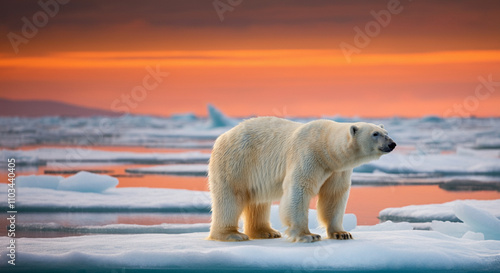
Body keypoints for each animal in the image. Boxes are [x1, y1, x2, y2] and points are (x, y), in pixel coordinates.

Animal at [206, 117, 394, 242]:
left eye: (386, 132)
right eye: (375, 133)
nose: (392, 144)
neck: (325, 147)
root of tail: (223, 136)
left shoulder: (337, 170)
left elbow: (333, 195)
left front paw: (342, 233)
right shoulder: (308, 154)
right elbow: (299, 189)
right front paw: (308, 235)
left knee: (258, 202)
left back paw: (267, 232)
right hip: (237, 162)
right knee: (230, 197)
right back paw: (231, 234)